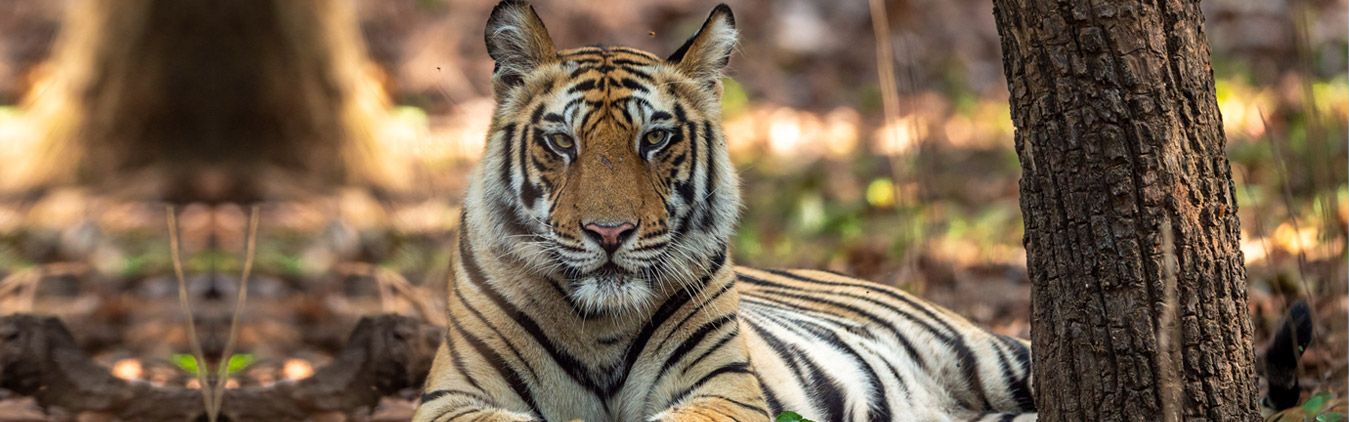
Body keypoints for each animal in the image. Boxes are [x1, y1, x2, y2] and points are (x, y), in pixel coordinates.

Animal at [413, 2, 1306, 421]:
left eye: (655, 139)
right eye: (560, 143)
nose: (607, 235)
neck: (597, 322)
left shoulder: (721, 386)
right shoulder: (451, 398)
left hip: (992, 354)